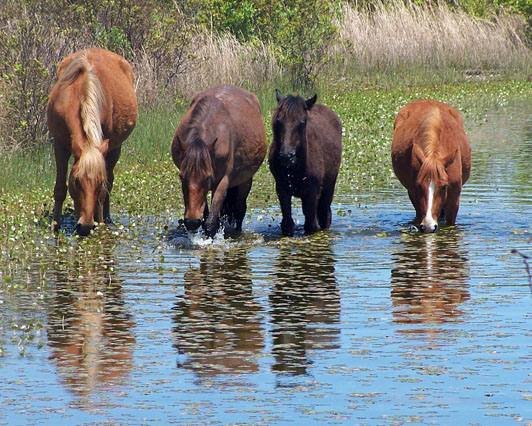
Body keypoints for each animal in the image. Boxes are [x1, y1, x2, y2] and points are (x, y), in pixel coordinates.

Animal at [46, 48, 137, 238]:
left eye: (99, 182)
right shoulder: (59, 144)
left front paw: (100, 223)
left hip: (115, 148)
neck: (79, 93)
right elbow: (60, 188)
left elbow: (104, 191)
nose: (85, 227)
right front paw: (54, 225)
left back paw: (106, 218)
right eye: (76, 181)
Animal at [172, 83, 268, 236]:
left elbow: (211, 222)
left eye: (207, 177)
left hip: (245, 181)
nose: (192, 222)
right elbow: (206, 217)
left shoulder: (222, 182)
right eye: (181, 177)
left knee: (240, 210)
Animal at [268, 90, 342, 236]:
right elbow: (288, 225)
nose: (286, 156)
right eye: (279, 121)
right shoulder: (282, 190)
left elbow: (311, 226)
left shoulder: (312, 192)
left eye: (302, 123)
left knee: (325, 215)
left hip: (329, 187)